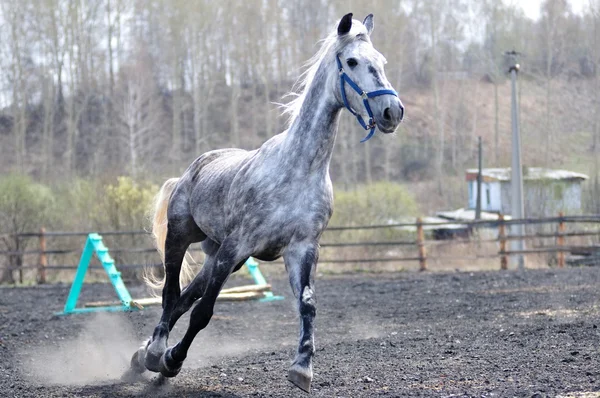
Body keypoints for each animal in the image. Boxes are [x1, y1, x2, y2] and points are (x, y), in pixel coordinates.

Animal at [130, 12, 404, 392]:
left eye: (381, 62)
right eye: (352, 62)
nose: (393, 111)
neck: (299, 170)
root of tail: (190, 171)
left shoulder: (301, 248)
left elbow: (307, 304)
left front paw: (302, 368)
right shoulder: (237, 245)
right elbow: (204, 313)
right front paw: (173, 360)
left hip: (218, 255)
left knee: (184, 299)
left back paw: (141, 358)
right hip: (184, 239)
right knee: (172, 294)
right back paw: (156, 352)